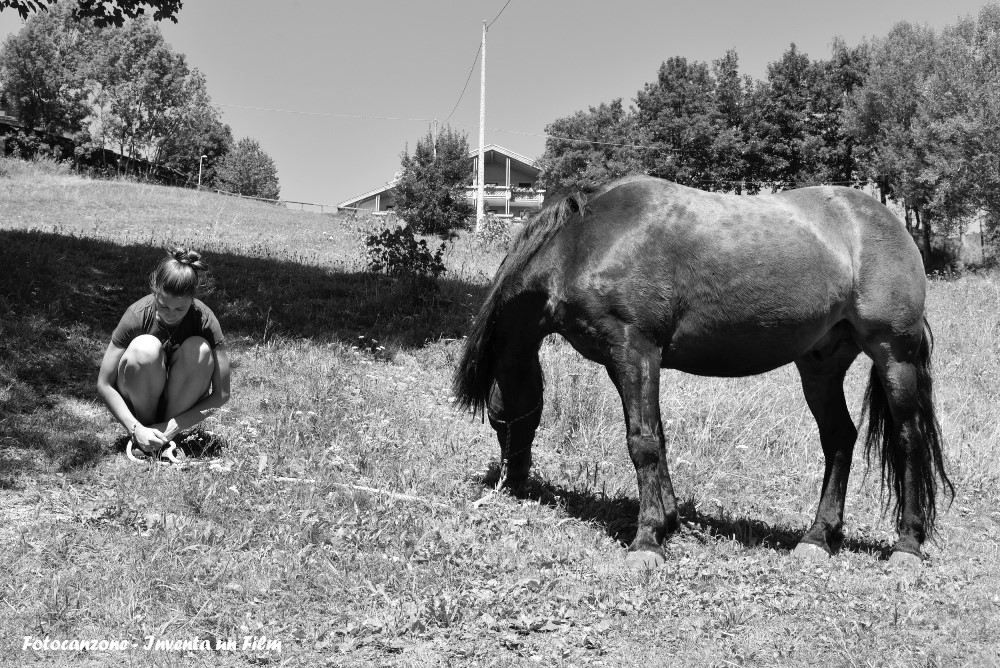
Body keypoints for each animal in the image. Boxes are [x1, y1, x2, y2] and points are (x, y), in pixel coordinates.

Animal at [454, 176, 952, 568]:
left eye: (497, 417)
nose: (512, 482)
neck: (584, 242)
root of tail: (887, 220)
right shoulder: (633, 362)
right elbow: (656, 437)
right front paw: (668, 521)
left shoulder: (634, 351)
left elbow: (643, 443)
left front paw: (647, 541)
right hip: (821, 365)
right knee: (839, 439)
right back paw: (817, 537)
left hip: (894, 355)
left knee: (908, 438)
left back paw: (906, 546)